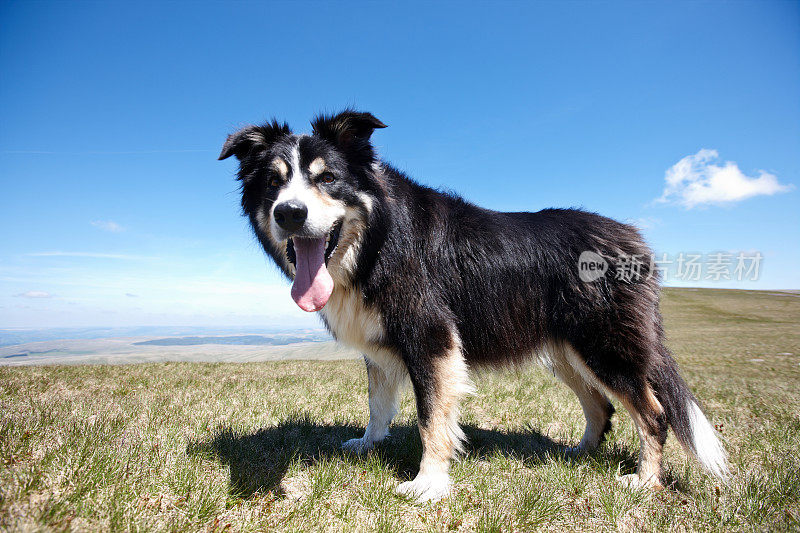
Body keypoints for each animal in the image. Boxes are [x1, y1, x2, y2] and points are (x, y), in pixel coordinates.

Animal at [220, 110, 732, 500]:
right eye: (273, 182)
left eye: (327, 178)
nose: (289, 213)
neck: (377, 240)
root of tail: (634, 240)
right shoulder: (379, 342)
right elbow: (378, 401)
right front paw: (368, 444)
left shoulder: (431, 338)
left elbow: (431, 418)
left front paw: (427, 485)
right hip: (566, 351)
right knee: (601, 405)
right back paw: (580, 453)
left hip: (604, 343)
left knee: (652, 412)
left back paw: (644, 481)